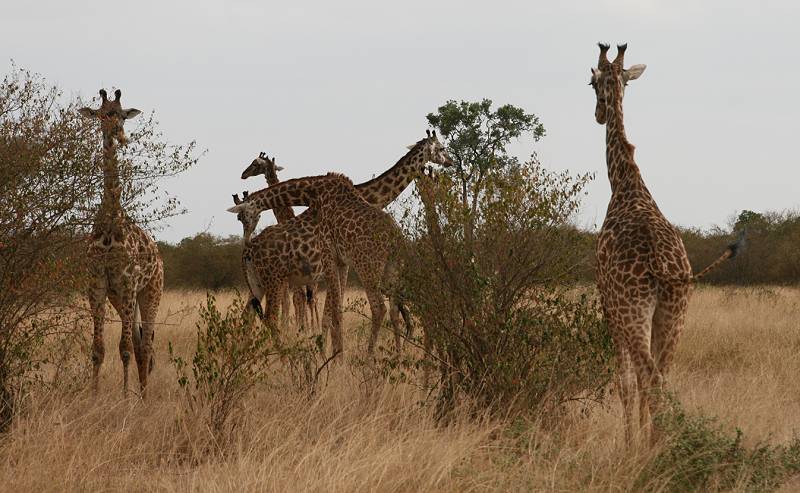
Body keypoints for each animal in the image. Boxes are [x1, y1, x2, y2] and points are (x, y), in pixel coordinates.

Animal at [79, 89, 164, 396]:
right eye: (102, 114)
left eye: (122, 115)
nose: (119, 134)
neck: (110, 221)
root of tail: (159, 256)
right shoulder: (98, 285)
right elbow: (98, 349)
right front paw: (93, 397)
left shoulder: (127, 284)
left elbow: (124, 348)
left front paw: (125, 399)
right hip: (120, 296)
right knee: (141, 345)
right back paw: (141, 393)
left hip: (151, 291)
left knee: (146, 343)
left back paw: (144, 397)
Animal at [592, 42, 740, 442]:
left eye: (591, 83)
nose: (598, 114)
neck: (625, 183)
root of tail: (662, 267)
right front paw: (638, 440)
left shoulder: (609, 307)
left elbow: (625, 383)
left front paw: (629, 443)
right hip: (676, 312)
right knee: (662, 379)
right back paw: (659, 446)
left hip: (634, 311)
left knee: (649, 378)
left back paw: (647, 450)